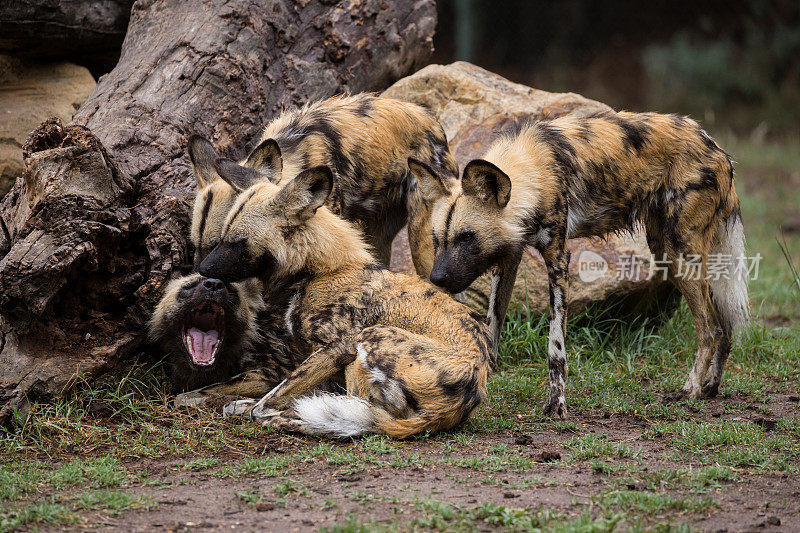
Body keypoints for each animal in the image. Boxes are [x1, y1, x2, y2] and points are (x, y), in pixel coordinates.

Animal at [198, 166, 494, 436]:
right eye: (221, 238)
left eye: (238, 242)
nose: (202, 269)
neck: (318, 270)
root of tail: (470, 389)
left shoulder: (337, 347)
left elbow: (268, 401)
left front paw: (260, 408)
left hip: (370, 337)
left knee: (361, 415)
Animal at [406, 109, 752, 416]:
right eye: (437, 239)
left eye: (467, 237)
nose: (437, 279)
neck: (531, 173)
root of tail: (715, 146)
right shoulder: (509, 259)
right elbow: (491, 329)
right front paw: (482, 380)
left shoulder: (558, 261)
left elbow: (555, 348)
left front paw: (556, 404)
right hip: (669, 251)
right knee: (725, 324)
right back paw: (710, 388)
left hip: (678, 251)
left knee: (710, 329)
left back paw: (689, 391)